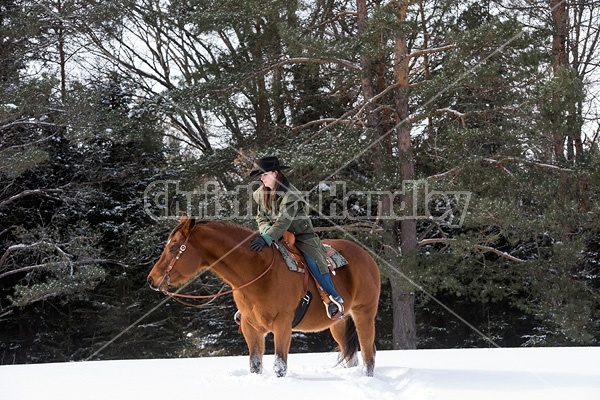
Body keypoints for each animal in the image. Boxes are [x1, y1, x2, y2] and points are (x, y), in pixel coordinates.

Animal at [146, 216, 380, 376]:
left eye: (174, 247)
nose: (152, 279)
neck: (257, 272)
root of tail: (367, 257)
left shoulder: (282, 325)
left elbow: (280, 366)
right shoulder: (251, 328)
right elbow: (255, 365)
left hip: (364, 314)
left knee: (369, 354)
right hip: (339, 323)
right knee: (352, 356)